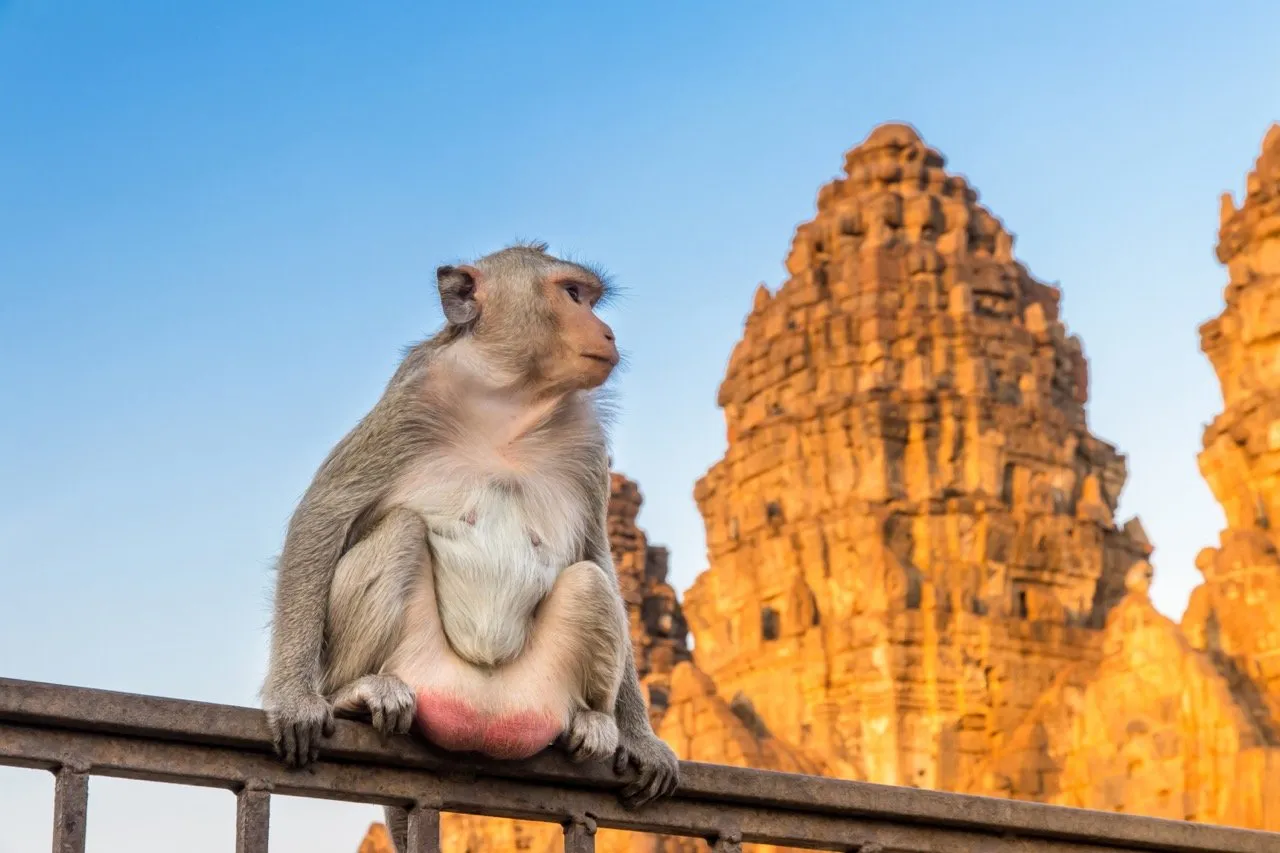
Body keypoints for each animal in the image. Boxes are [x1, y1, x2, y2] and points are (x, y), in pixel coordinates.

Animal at [259, 242, 680, 827]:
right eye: (573, 294)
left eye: (590, 299)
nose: (607, 332)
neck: (511, 398)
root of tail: (480, 723)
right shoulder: (409, 401)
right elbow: (324, 515)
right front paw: (295, 698)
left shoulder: (589, 447)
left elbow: (599, 558)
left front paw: (641, 739)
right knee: (401, 531)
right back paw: (355, 693)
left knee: (590, 581)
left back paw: (593, 722)